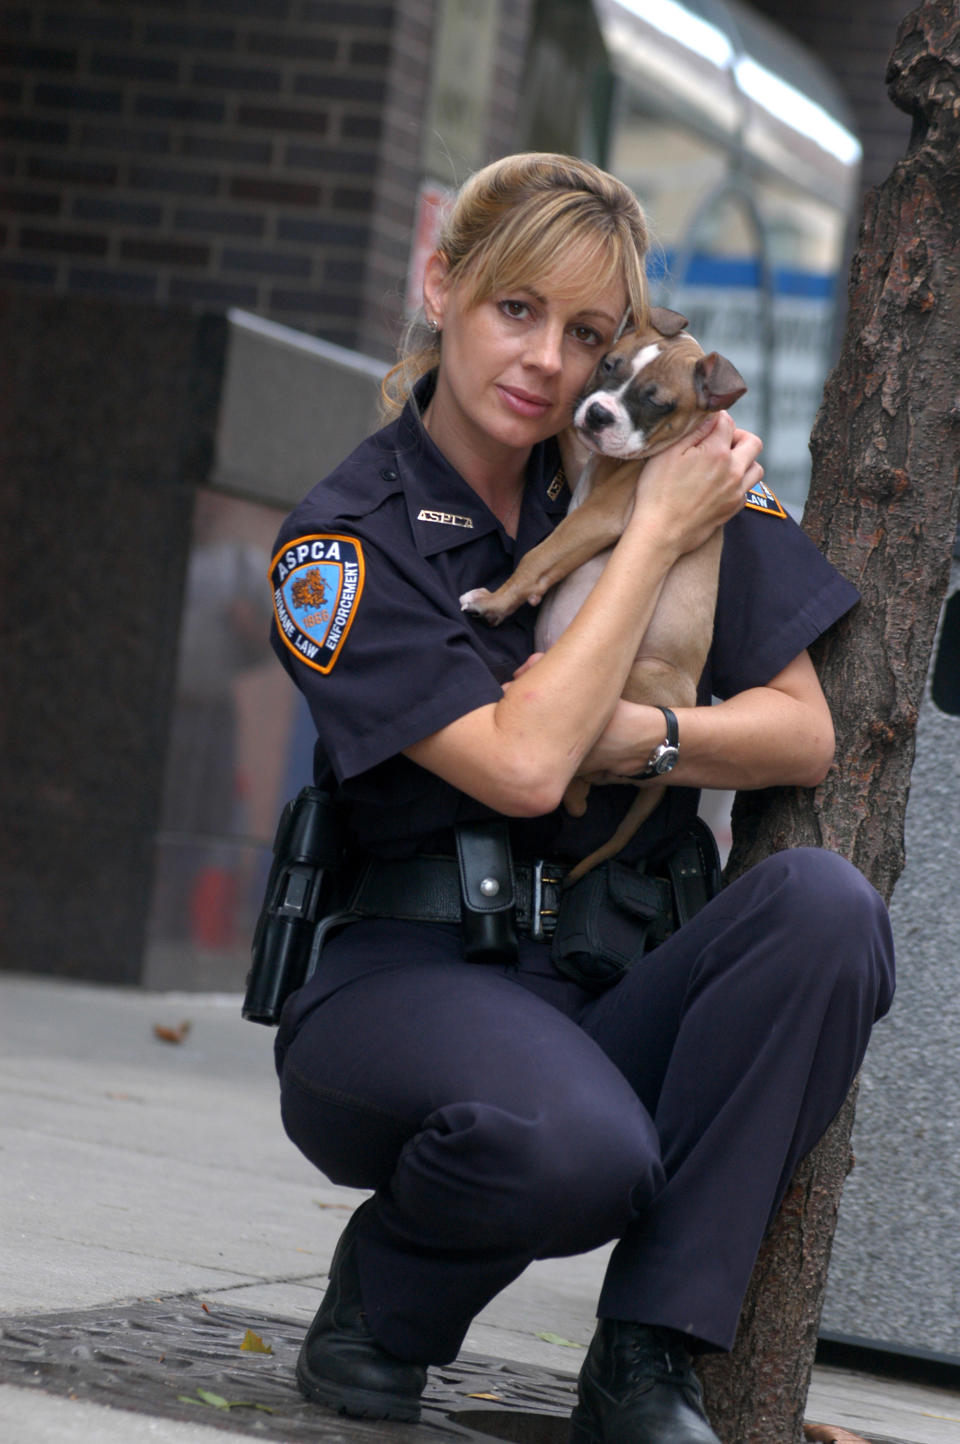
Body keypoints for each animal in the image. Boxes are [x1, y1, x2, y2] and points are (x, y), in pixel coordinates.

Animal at [461, 307, 744, 877]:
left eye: (656, 401)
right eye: (608, 365)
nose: (596, 414)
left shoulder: (603, 516)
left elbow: (538, 556)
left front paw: (492, 603)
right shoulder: (585, 477)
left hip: (640, 679)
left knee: (580, 788)